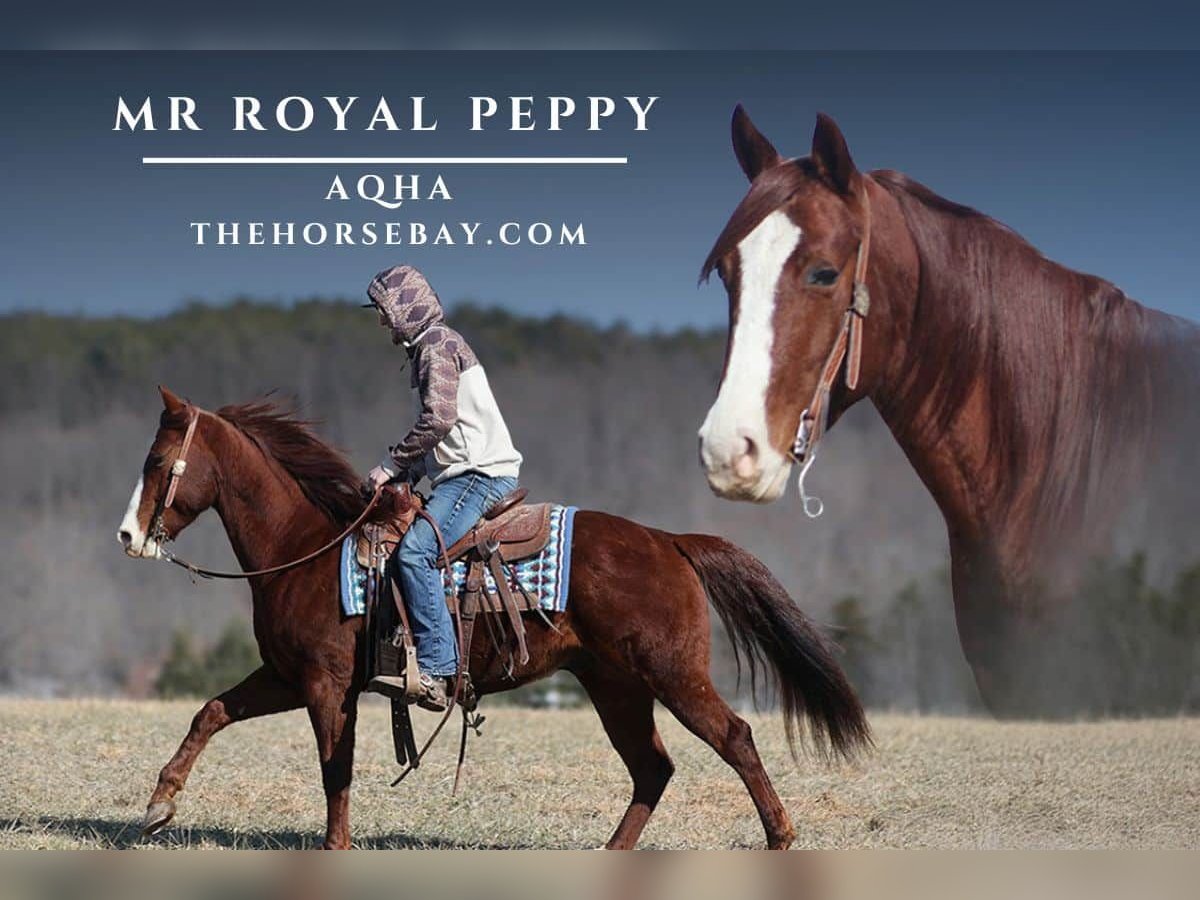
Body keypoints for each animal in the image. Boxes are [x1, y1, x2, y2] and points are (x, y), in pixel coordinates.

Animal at [119, 388, 873, 854]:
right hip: (616, 687)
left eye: (156, 461)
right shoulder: (285, 676)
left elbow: (335, 770)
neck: (308, 544)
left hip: (673, 675)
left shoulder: (325, 686)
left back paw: (780, 837)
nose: (128, 536)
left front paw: (334, 846)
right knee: (652, 767)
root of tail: (670, 540)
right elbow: (211, 713)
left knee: (735, 738)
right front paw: (159, 805)